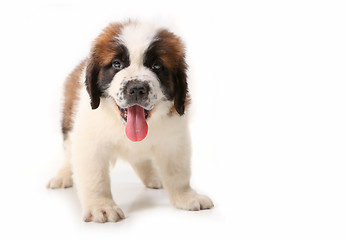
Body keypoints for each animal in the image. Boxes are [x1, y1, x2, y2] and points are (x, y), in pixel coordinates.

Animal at [46, 21, 212, 223]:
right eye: (116, 64)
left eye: (157, 66)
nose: (137, 88)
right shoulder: (89, 142)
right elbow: (95, 177)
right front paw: (101, 206)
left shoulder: (174, 138)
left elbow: (178, 172)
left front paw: (186, 197)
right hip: (68, 124)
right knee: (69, 152)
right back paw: (62, 176)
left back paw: (153, 177)